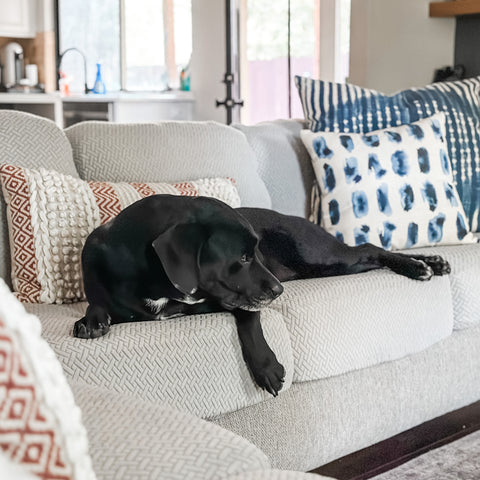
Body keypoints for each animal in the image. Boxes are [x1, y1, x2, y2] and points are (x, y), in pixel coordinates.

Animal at [74, 193, 450, 396]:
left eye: (254, 252)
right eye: (242, 258)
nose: (279, 290)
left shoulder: (231, 299)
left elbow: (248, 317)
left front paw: (266, 366)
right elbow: (96, 303)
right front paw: (90, 321)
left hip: (323, 258)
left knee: (370, 247)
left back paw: (420, 266)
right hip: (329, 267)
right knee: (370, 255)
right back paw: (429, 262)